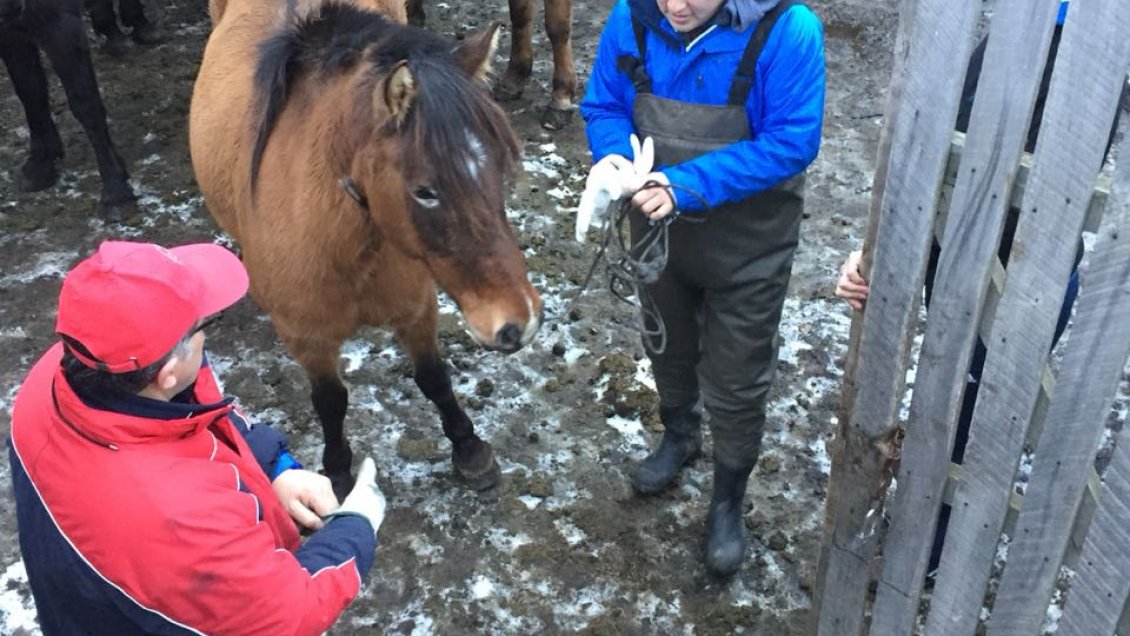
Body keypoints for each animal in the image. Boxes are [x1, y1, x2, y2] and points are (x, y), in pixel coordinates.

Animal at [0, 0, 137, 220]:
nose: (11, 9)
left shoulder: (61, 24)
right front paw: (41, 162)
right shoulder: (9, 31)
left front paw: (116, 192)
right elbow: (29, 90)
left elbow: (85, 103)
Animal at [190, 0, 543, 494]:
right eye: (424, 191)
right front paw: (338, 472)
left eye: (496, 166)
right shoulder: (307, 338)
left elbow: (433, 377)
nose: (520, 322)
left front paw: (468, 447)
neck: (347, 247)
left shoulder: (417, 309)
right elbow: (330, 401)